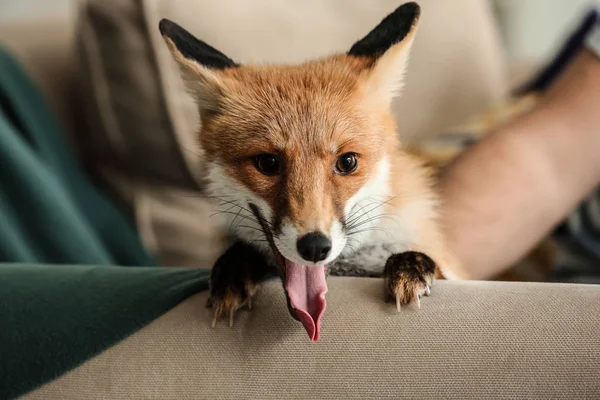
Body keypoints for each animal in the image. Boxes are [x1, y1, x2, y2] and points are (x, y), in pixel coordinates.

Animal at [158, 1, 460, 342]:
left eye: (347, 162)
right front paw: (232, 269)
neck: (348, 269)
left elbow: (434, 264)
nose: (315, 247)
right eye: (268, 163)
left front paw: (408, 264)